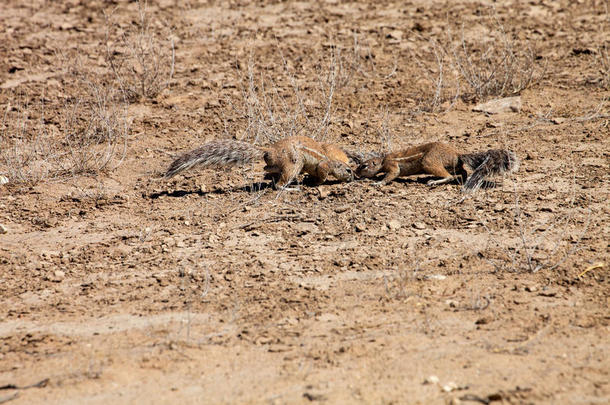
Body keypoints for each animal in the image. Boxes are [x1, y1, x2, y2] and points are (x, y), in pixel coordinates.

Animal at [163, 134, 352, 188]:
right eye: (349, 170)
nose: (352, 179)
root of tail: (270, 150)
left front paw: (309, 179)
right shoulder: (323, 165)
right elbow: (321, 174)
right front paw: (317, 182)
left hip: (281, 163)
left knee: (267, 170)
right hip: (293, 163)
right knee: (279, 184)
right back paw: (290, 187)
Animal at [356, 141, 516, 192]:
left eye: (364, 166)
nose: (355, 173)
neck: (382, 161)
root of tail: (457, 154)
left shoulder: (392, 165)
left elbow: (392, 174)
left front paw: (378, 182)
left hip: (428, 162)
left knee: (448, 176)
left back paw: (433, 181)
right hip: (452, 165)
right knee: (462, 172)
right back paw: (463, 179)